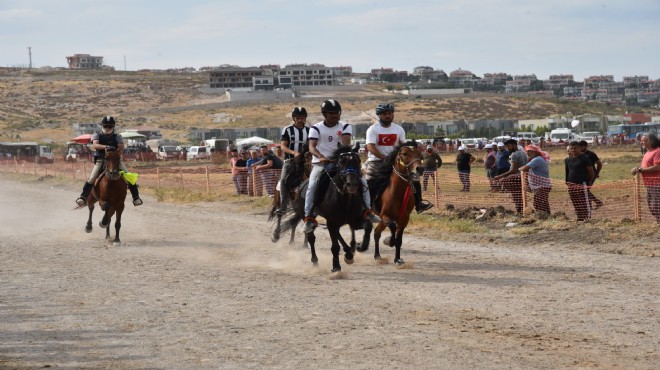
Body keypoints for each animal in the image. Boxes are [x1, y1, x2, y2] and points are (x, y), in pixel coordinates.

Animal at [282, 144, 366, 272]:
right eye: (341, 162)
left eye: (358, 161)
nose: (352, 184)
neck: (344, 196)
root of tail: (301, 186)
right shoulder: (332, 221)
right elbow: (335, 246)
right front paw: (336, 267)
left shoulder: (353, 219)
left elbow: (360, 229)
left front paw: (352, 251)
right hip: (307, 215)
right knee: (311, 237)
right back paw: (315, 260)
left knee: (336, 233)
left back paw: (348, 253)